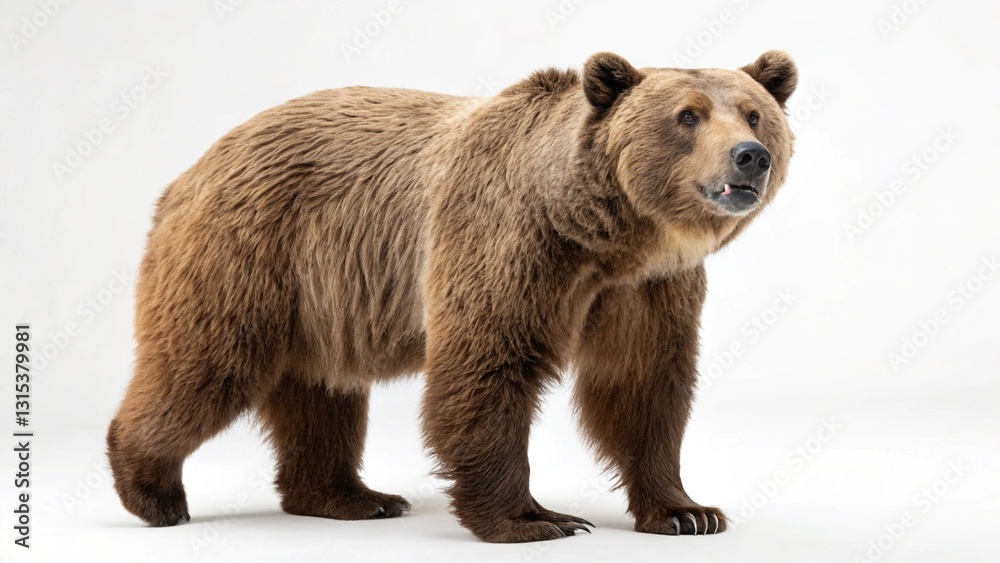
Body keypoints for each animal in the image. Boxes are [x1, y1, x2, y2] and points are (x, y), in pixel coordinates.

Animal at [106, 50, 797, 543]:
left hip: (320, 299)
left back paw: (352, 497)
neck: (605, 234)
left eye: (754, 112)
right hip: (249, 253)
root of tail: (189, 172)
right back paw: (153, 491)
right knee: (206, 364)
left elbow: (644, 384)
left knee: (322, 392)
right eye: (688, 116)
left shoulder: (648, 288)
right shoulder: (510, 243)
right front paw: (535, 519)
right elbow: (487, 366)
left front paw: (687, 512)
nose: (750, 157)